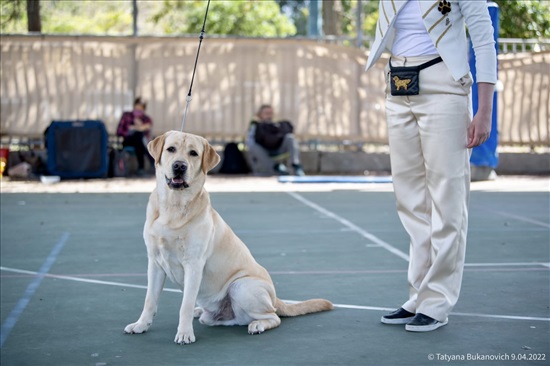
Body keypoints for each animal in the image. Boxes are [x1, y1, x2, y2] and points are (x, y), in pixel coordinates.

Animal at [124, 131, 332, 344]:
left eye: (193, 153)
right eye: (171, 149)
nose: (179, 166)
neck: (173, 207)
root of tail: (276, 298)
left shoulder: (194, 264)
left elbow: (185, 305)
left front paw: (184, 333)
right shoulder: (155, 263)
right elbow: (150, 299)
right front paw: (141, 325)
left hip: (241, 287)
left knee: (273, 316)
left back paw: (257, 324)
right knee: (220, 319)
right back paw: (202, 313)